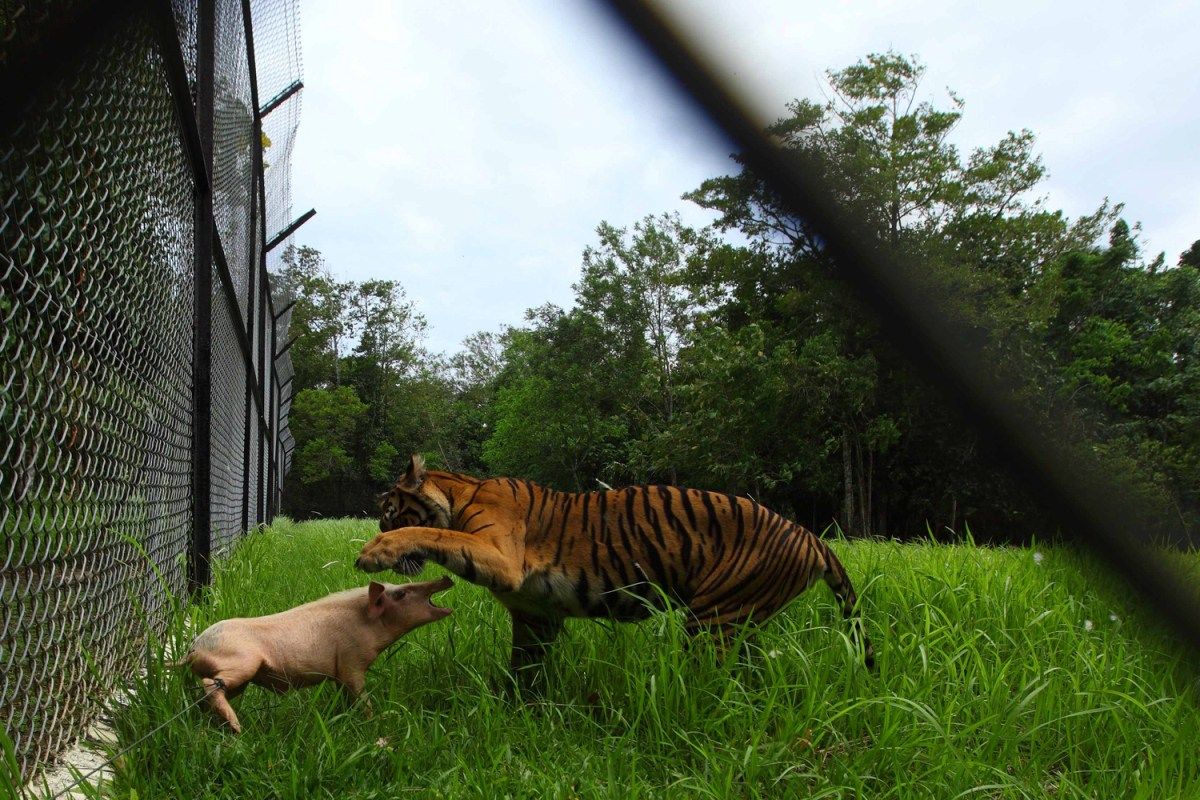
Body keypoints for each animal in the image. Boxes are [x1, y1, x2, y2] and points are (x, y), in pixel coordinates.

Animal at [180, 575, 451, 734]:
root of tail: (193, 648)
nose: (446, 578)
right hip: (242, 662)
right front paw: (376, 719)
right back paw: (237, 728)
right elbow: (360, 693)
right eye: (401, 593)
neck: (366, 624)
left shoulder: (340, 673)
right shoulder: (351, 662)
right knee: (210, 684)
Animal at [352, 453, 873, 686]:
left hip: (713, 620)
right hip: (740, 623)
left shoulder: (502, 556)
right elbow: (525, 670)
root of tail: (812, 538)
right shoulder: (534, 616)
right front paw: (516, 709)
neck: (460, 493)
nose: (376, 526)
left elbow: (437, 534)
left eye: (388, 513)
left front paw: (374, 551)